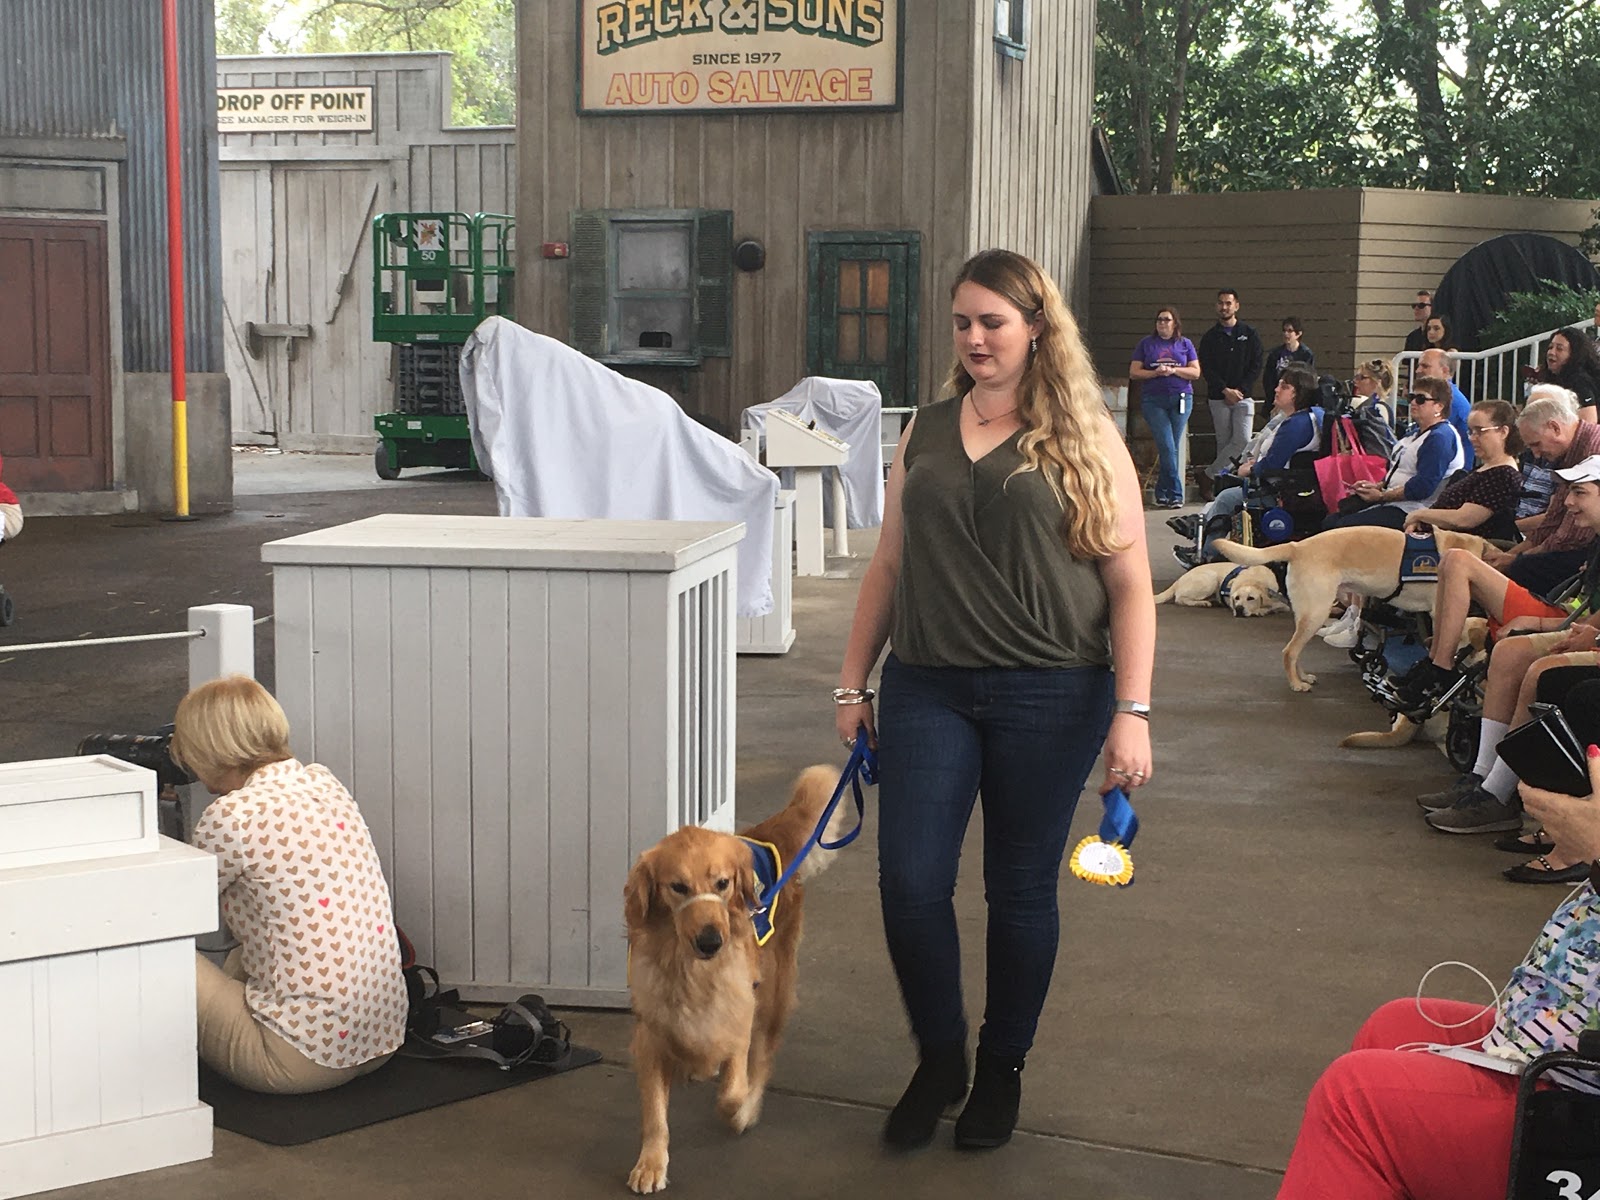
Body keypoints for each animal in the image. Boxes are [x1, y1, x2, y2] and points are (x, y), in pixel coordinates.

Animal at [624, 764, 848, 1194]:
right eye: (678, 887)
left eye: (722, 883)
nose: (711, 940)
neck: (691, 971)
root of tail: (761, 836)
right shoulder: (650, 1034)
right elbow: (655, 1114)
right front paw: (650, 1164)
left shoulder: (738, 1015)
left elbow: (731, 1086)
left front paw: (737, 1107)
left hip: (774, 990)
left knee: (764, 1056)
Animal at [1153, 561, 1290, 617]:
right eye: (1236, 598)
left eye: (1251, 598)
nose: (1239, 609)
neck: (1254, 580)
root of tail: (1179, 579)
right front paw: (1260, 611)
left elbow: (1278, 605)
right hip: (1210, 579)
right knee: (1180, 598)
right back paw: (1202, 603)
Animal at [1214, 528, 1489, 692]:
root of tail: (1297, 546)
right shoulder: (1438, 611)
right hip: (1316, 613)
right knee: (1289, 651)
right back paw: (1296, 685)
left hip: (1308, 614)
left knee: (1295, 651)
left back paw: (1303, 677)